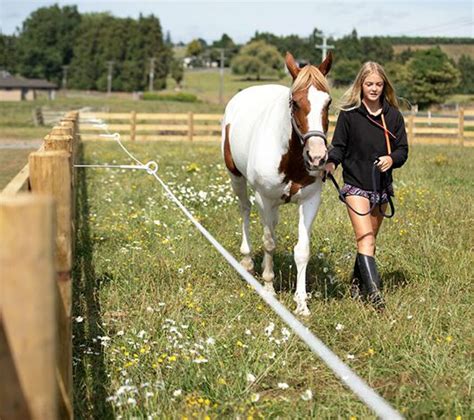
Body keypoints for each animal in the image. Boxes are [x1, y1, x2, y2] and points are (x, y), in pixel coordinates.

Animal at [222, 51, 334, 316]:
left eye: (328, 103)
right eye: (295, 102)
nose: (317, 157)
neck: (290, 156)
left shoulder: (310, 201)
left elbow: (302, 251)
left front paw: (301, 303)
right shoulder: (264, 198)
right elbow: (269, 243)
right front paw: (269, 287)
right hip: (237, 179)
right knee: (245, 210)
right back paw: (247, 261)